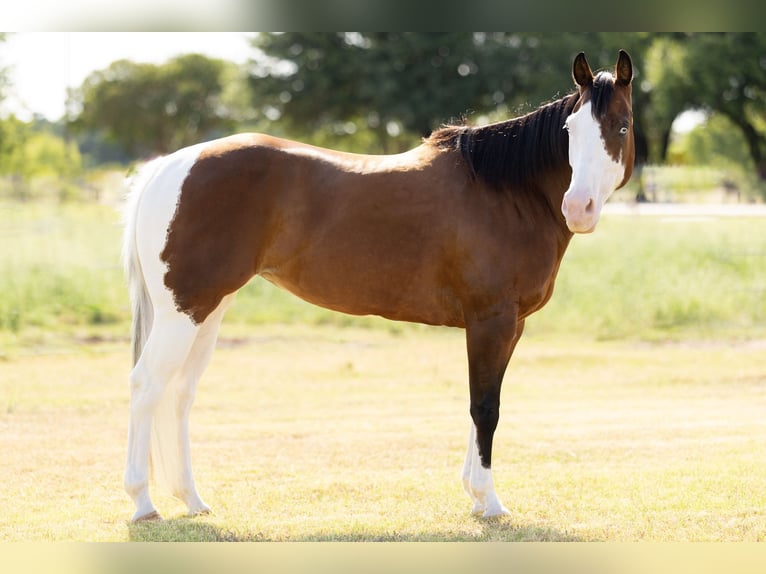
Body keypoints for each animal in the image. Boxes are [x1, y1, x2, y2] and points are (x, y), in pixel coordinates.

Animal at [122, 50, 634, 522]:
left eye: (622, 127)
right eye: (570, 130)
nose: (578, 207)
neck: (506, 192)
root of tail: (170, 165)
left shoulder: (508, 326)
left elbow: (480, 404)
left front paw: (474, 496)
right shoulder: (491, 321)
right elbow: (486, 406)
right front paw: (489, 502)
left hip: (207, 311)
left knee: (180, 392)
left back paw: (192, 500)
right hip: (183, 313)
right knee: (147, 385)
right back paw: (143, 504)